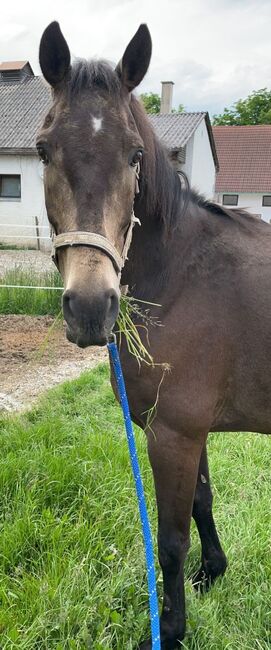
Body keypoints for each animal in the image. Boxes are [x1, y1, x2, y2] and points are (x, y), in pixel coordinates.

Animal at [37, 22, 270, 644]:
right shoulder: (191, 431)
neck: (182, 277)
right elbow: (203, 503)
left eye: (136, 155)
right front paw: (211, 575)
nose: (90, 308)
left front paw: (172, 628)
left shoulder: (173, 434)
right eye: (43, 149)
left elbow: (169, 539)